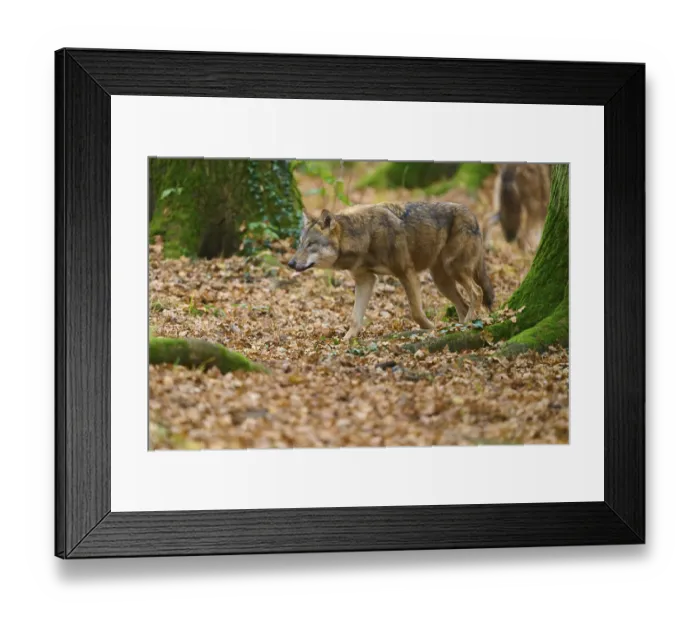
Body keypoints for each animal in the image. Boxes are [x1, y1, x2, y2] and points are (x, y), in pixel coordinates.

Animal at [287, 201, 495, 341]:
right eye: (300, 244)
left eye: (311, 244)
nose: (290, 263)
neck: (364, 236)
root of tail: (473, 215)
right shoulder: (365, 280)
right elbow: (355, 318)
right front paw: (346, 341)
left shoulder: (406, 272)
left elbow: (416, 312)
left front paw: (430, 328)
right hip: (441, 281)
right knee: (463, 304)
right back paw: (461, 327)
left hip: (453, 270)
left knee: (477, 293)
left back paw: (467, 324)